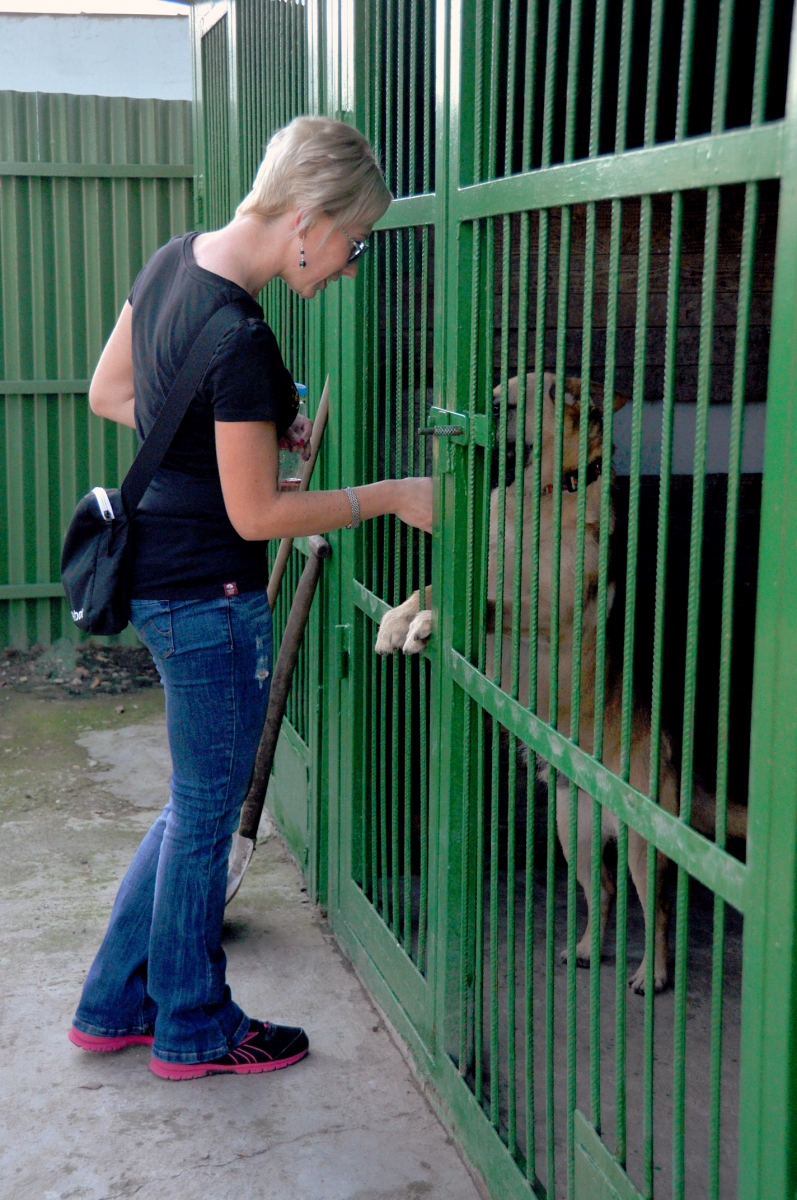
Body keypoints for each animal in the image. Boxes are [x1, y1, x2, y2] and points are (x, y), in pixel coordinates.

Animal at [376, 372, 744, 993]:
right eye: (496, 398)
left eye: (518, 404)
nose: (484, 410)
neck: (539, 501)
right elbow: (432, 587)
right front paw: (397, 621)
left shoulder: (551, 613)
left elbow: (484, 603)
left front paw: (425, 623)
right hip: (573, 835)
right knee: (605, 891)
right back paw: (588, 949)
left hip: (644, 845)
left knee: (657, 908)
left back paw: (652, 974)